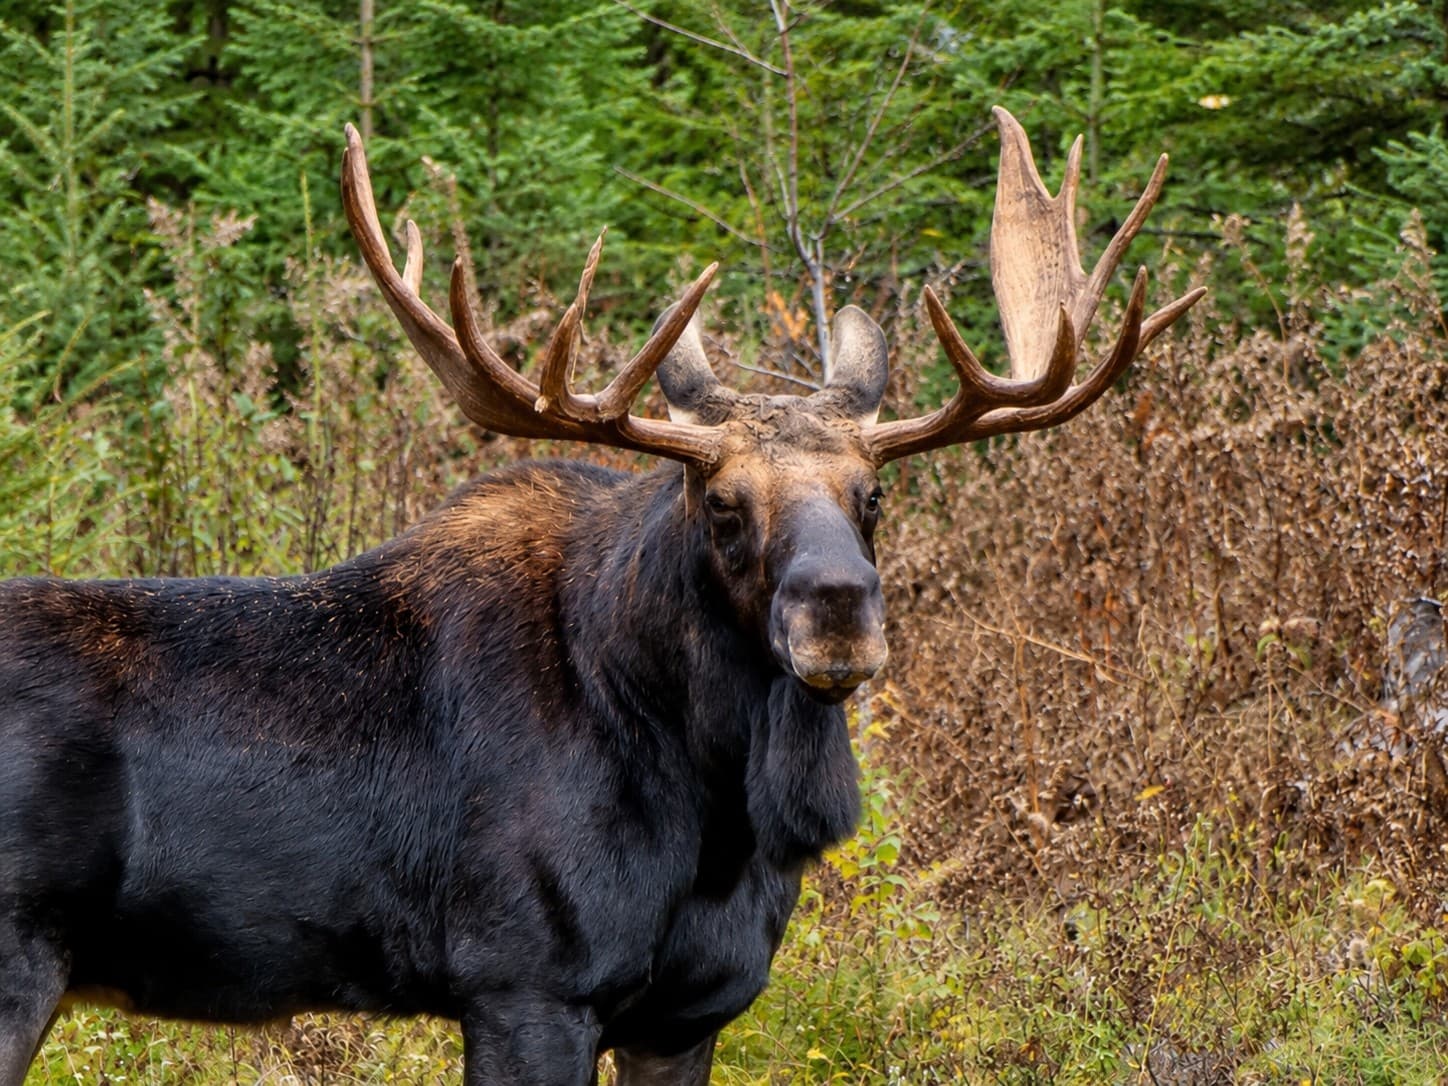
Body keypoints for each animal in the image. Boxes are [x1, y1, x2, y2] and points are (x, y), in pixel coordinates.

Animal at [0, 108, 1202, 1085]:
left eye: (874, 494)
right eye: (721, 501)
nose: (839, 612)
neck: (716, 809)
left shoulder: (687, 1013)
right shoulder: (526, 984)